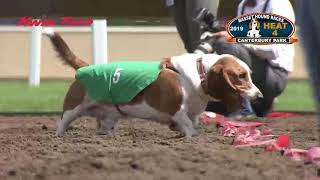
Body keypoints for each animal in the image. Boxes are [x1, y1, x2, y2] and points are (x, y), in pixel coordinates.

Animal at [43, 28, 262, 139]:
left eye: (249, 74)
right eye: (241, 76)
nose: (259, 97)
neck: (199, 74)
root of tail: (84, 68)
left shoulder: (193, 114)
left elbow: (192, 124)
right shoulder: (178, 111)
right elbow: (188, 125)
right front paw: (189, 138)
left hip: (109, 117)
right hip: (73, 109)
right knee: (62, 122)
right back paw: (58, 138)